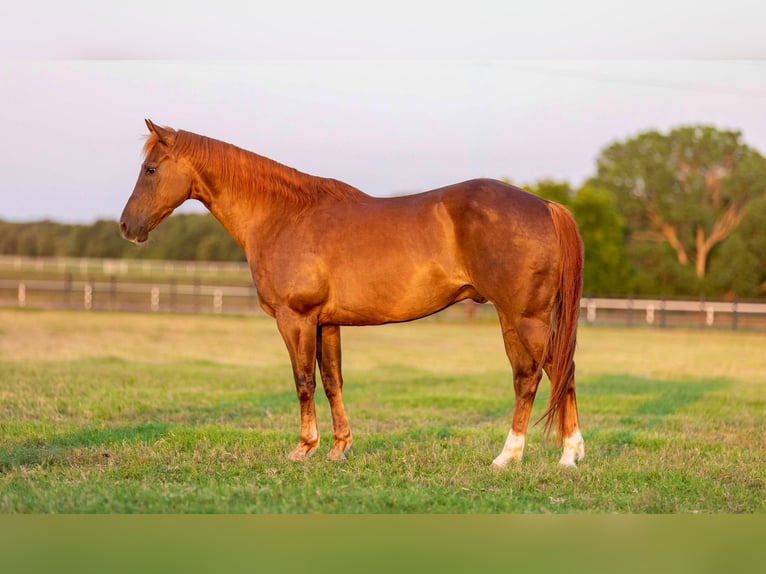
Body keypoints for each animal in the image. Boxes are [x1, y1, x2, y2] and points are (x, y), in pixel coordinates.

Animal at [120, 119, 585, 467]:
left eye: (151, 170)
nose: (127, 226)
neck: (283, 215)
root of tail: (546, 207)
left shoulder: (296, 318)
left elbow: (303, 381)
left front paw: (304, 448)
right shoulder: (326, 322)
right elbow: (332, 381)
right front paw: (340, 447)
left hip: (522, 318)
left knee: (529, 376)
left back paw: (508, 456)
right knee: (561, 369)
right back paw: (570, 454)